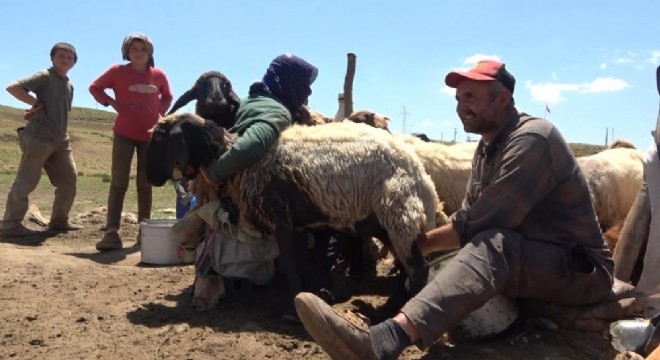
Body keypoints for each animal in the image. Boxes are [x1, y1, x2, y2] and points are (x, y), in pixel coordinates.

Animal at [147, 114, 440, 320]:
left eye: (159, 138)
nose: (151, 177)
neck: (238, 160)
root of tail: (423, 179)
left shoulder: (279, 217)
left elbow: (289, 265)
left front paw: (291, 311)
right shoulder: (298, 225)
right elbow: (305, 263)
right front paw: (315, 295)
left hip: (399, 215)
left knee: (418, 269)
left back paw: (394, 310)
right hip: (386, 222)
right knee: (407, 267)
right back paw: (387, 307)